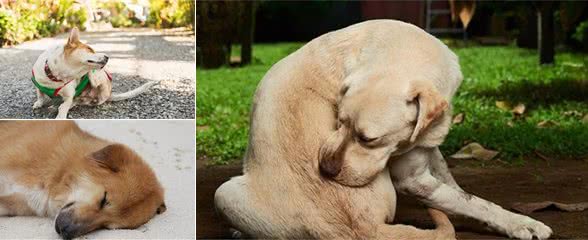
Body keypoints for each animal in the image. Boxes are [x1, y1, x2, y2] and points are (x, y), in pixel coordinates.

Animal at [216, 19, 552, 239]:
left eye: (369, 139)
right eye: (338, 121)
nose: (324, 169)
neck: (401, 49)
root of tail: (362, 229)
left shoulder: (426, 149)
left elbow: (459, 190)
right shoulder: (413, 180)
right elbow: (475, 202)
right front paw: (521, 222)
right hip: (224, 193)